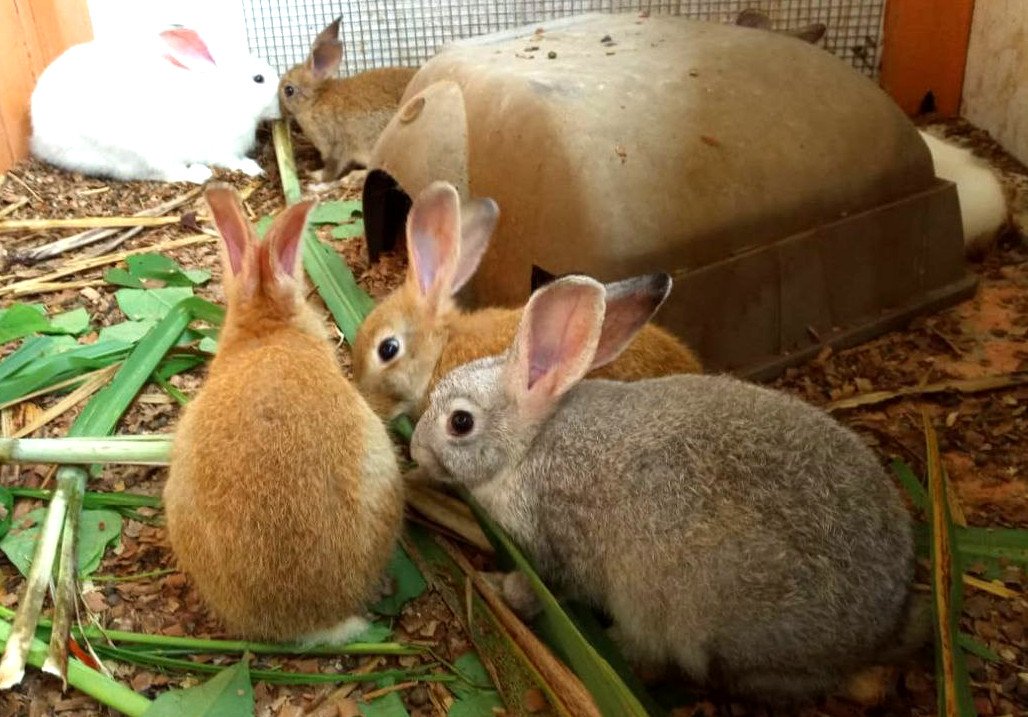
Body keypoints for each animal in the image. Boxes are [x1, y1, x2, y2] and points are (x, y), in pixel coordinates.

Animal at [30, 27, 280, 184]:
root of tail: (40, 140)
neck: (228, 95)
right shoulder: (222, 149)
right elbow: (233, 162)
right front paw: (253, 168)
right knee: (165, 174)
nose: (279, 106)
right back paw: (200, 174)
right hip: (144, 153)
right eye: (258, 79)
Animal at [279, 17, 418, 182]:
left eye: (289, 90)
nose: (279, 107)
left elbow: (332, 167)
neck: (315, 100)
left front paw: (317, 176)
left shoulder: (336, 143)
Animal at [409, 274, 921, 702]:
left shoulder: (559, 542)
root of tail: (881, 628)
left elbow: (545, 586)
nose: (415, 448)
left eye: (460, 422)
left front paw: (496, 587)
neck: (529, 443)